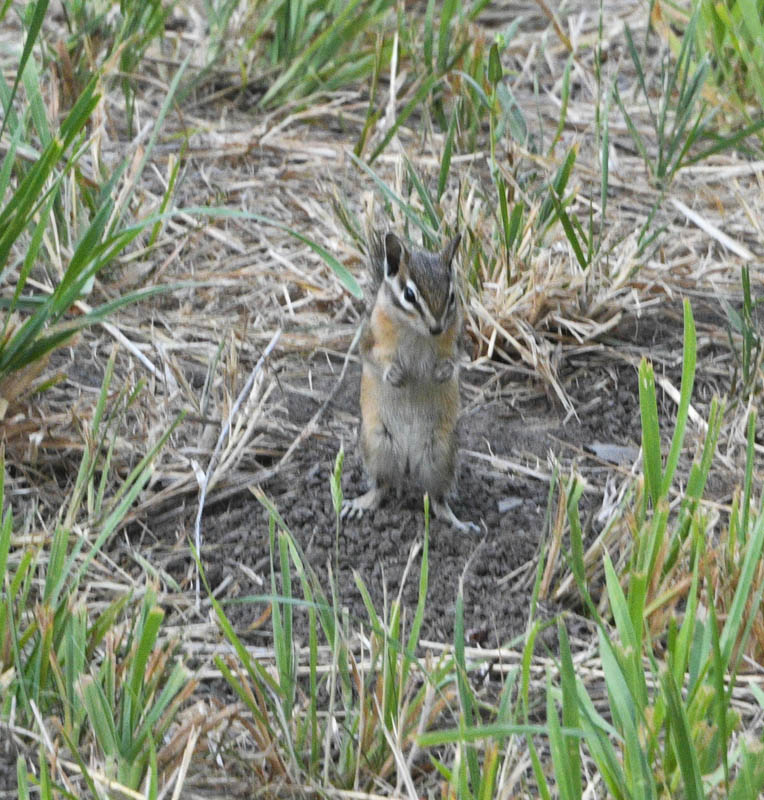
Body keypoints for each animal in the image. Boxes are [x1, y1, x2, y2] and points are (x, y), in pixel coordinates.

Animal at [341, 230, 479, 533]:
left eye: (452, 296)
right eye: (409, 295)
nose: (437, 328)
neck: (417, 332)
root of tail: (406, 465)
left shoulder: (456, 340)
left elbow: (456, 360)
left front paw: (441, 373)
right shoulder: (370, 338)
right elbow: (372, 358)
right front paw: (395, 376)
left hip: (439, 455)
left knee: (437, 500)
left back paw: (458, 522)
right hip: (378, 445)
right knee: (381, 487)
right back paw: (361, 504)